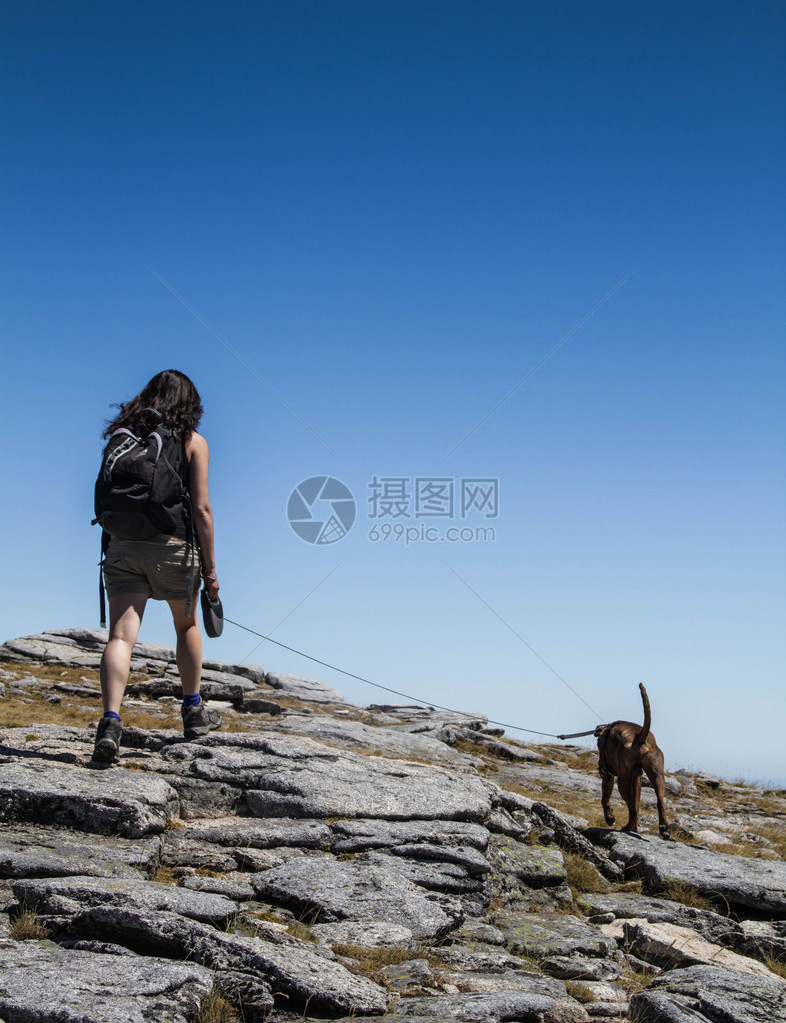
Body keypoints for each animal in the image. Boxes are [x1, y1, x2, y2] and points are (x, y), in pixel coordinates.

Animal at [597, 687, 671, 838]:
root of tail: (639, 737)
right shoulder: (637, 778)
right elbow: (637, 802)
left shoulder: (607, 775)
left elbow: (604, 799)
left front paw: (610, 818)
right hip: (657, 775)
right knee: (658, 802)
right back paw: (663, 829)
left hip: (623, 781)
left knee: (632, 809)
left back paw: (627, 827)